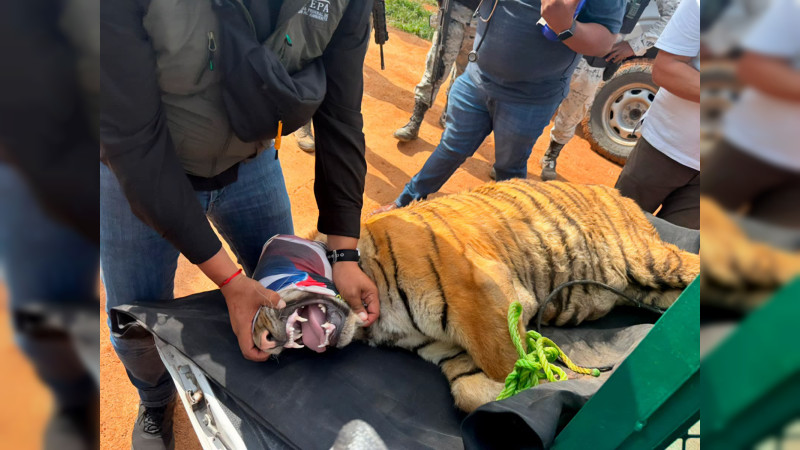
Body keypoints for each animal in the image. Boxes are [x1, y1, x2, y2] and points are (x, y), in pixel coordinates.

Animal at [252, 179, 700, 412]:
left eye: (271, 273)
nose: (258, 336)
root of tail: (624, 197)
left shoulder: (480, 292)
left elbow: (508, 361)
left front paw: (561, 385)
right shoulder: (448, 347)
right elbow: (471, 389)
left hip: (652, 261)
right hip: (645, 287)